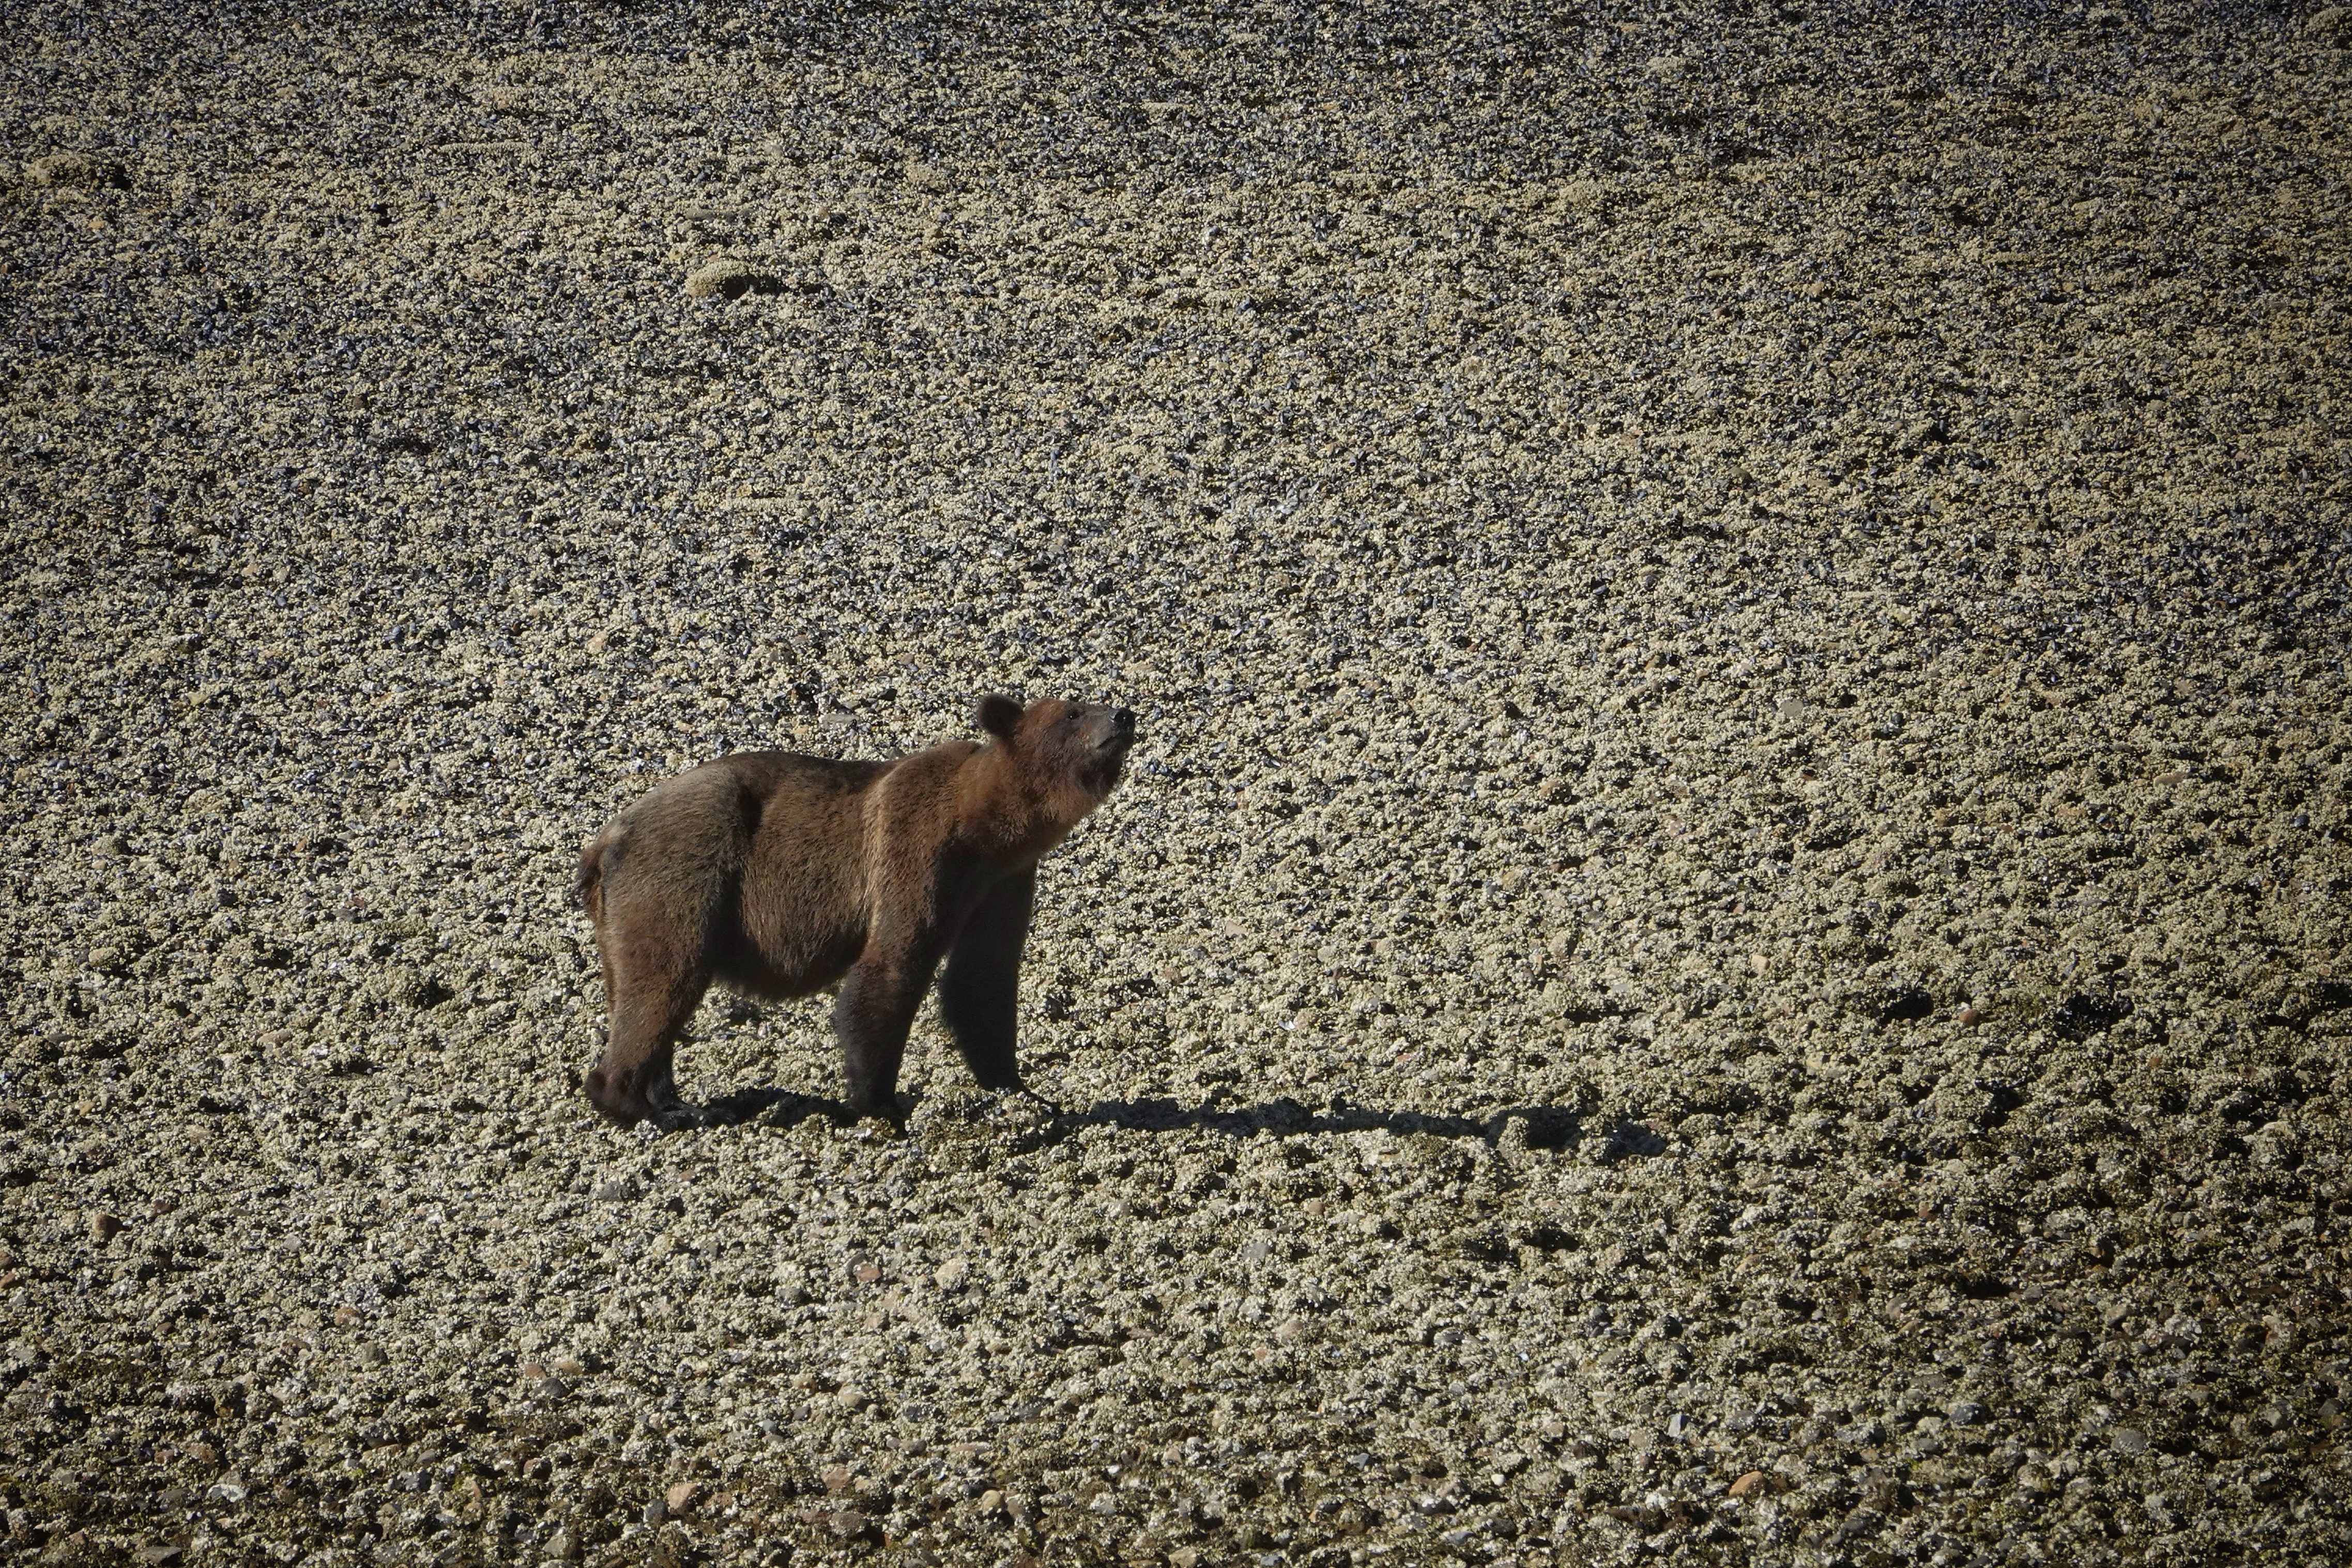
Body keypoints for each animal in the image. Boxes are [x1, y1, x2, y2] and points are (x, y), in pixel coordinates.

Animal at [573, 694, 1135, 1130]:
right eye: (1073, 711)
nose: (1123, 715)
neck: (988, 827)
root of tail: (602, 841)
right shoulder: (917, 846)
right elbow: (893, 965)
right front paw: (880, 1101)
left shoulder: (1002, 883)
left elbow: (983, 979)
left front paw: (1022, 1089)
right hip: (684, 869)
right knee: (665, 978)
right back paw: (639, 1102)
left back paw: (672, 1098)